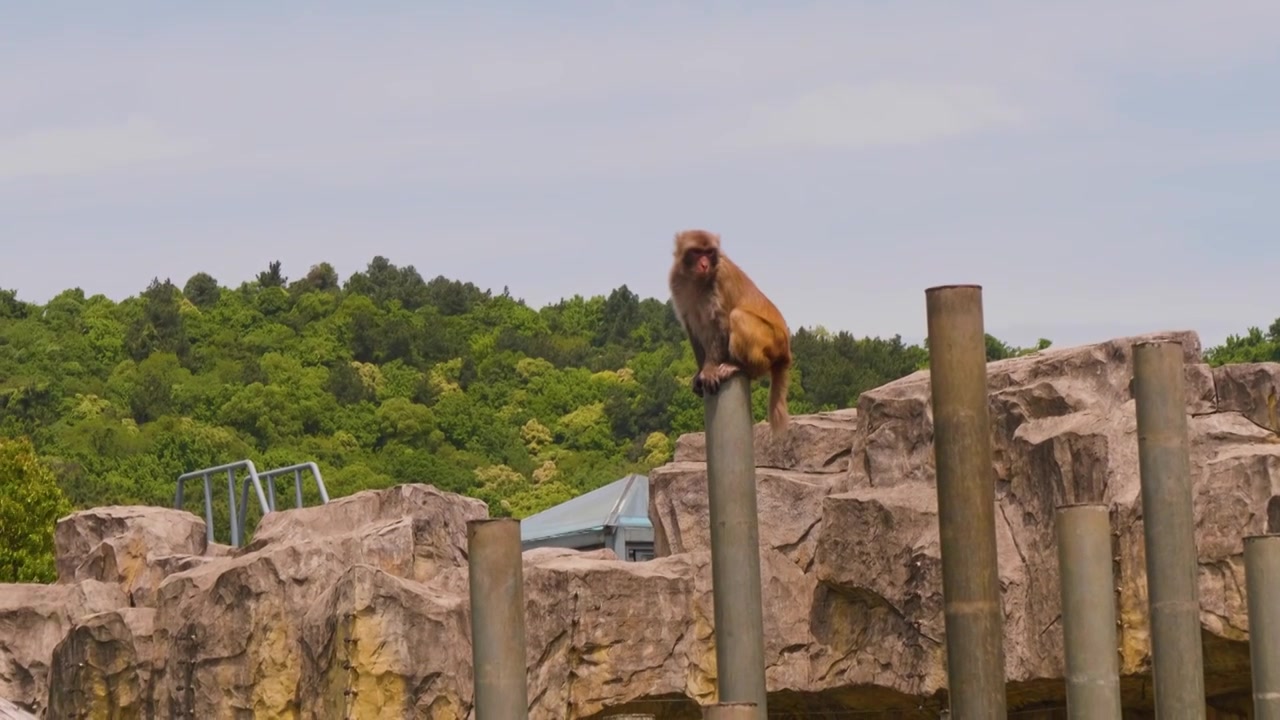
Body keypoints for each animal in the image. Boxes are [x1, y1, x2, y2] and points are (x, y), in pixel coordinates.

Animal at [670, 228, 788, 430]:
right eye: (697, 252)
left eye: (709, 252)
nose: (704, 264)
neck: (697, 281)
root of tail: (786, 349)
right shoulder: (676, 282)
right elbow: (692, 328)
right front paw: (700, 372)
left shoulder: (721, 278)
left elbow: (722, 322)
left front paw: (709, 369)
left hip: (772, 341)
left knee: (737, 316)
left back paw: (741, 367)